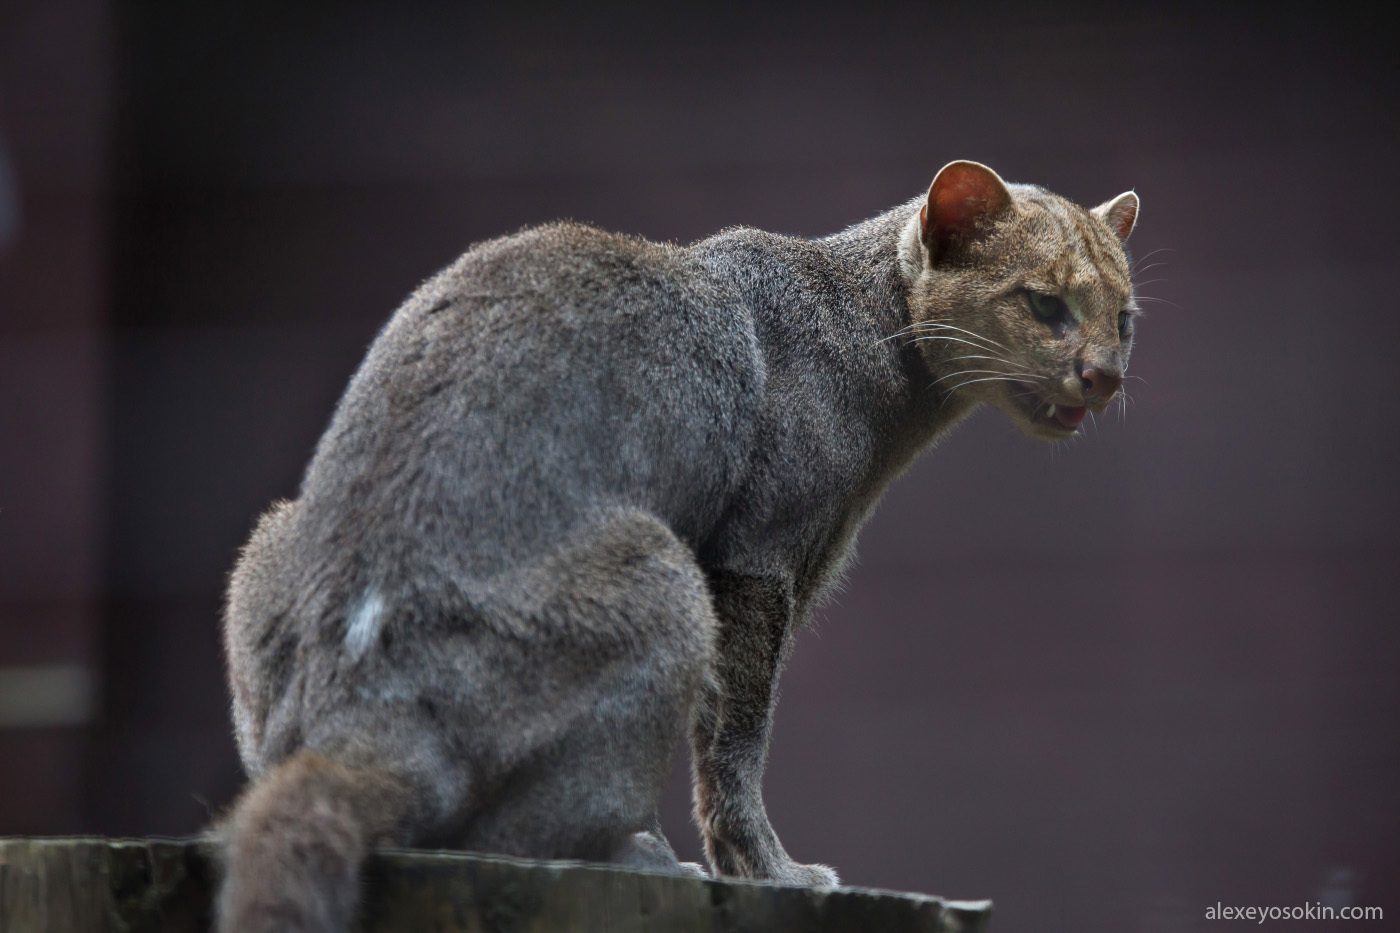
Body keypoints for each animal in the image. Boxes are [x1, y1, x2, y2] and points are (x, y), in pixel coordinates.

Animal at [215, 161, 1136, 930]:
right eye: (1045, 303)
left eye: (1124, 318)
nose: (1106, 374)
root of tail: (360, 707)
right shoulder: (759, 559)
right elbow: (736, 737)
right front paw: (772, 871)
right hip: (660, 576)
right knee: (505, 828)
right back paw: (645, 856)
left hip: (269, 541)